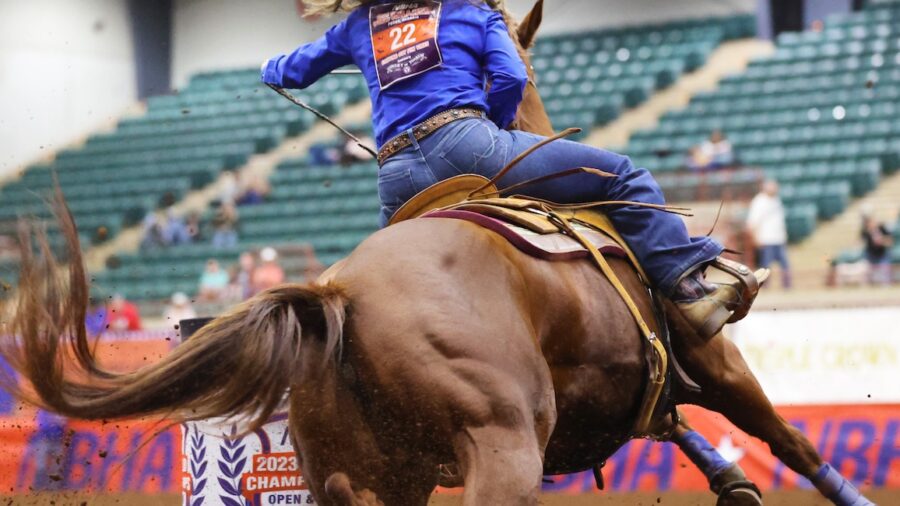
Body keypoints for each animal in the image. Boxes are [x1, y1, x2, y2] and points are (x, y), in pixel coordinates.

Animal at [0, 2, 869, 505]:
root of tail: (340, 297)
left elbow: (679, 424)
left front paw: (728, 477)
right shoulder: (717, 361)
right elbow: (788, 439)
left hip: (364, 479)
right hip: (501, 451)